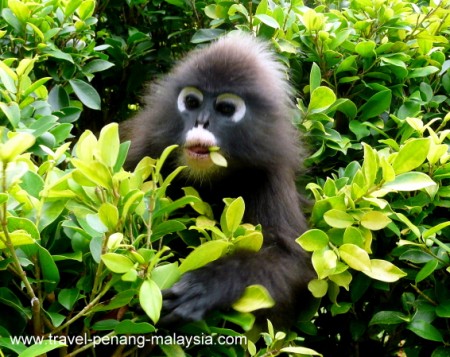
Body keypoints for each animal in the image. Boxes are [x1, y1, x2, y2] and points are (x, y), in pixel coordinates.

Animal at [121, 32, 314, 326]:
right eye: (192, 103)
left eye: (225, 108)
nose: (201, 122)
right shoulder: (141, 151)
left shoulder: (273, 173)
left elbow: (292, 260)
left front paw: (207, 285)